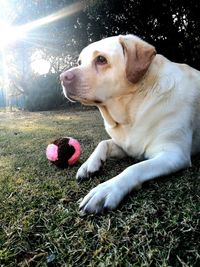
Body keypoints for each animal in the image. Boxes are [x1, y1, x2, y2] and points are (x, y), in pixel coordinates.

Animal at [60, 34, 200, 214]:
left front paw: (106, 189)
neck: (133, 108)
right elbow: (103, 142)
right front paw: (89, 164)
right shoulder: (127, 145)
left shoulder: (175, 154)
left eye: (101, 59)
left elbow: (136, 168)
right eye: (79, 62)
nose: (62, 78)